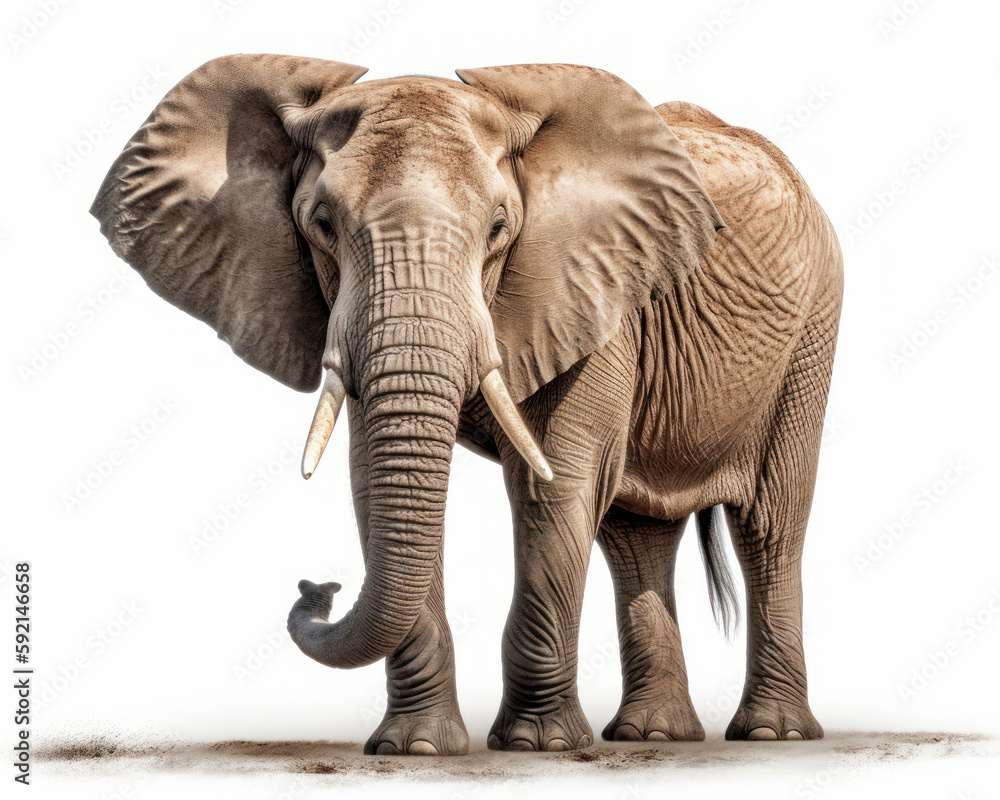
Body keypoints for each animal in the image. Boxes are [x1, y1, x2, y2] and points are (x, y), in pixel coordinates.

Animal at [91, 54, 842, 755]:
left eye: (500, 227)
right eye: (322, 225)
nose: (315, 587)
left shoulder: (594, 291)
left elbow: (554, 486)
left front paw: (539, 746)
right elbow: (374, 485)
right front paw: (414, 749)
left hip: (815, 324)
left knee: (770, 525)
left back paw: (770, 734)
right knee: (636, 535)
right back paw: (652, 736)